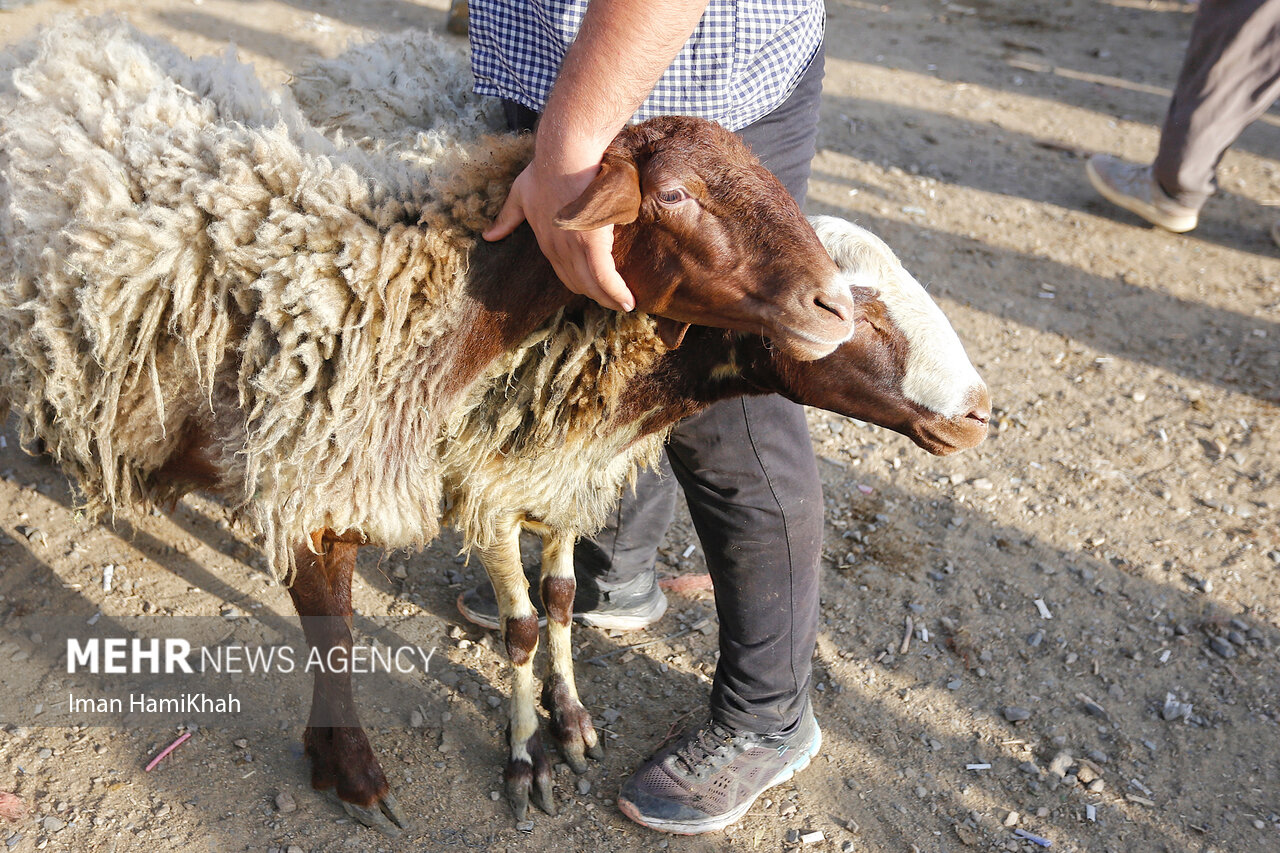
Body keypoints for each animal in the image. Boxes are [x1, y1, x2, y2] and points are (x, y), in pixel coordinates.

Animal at [0, 18, 988, 829]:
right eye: (676, 196)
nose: (981, 413)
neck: (405, 284)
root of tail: (63, 43)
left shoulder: (546, 468)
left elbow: (555, 600)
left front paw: (570, 723)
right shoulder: (352, 477)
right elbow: (348, 632)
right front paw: (365, 771)